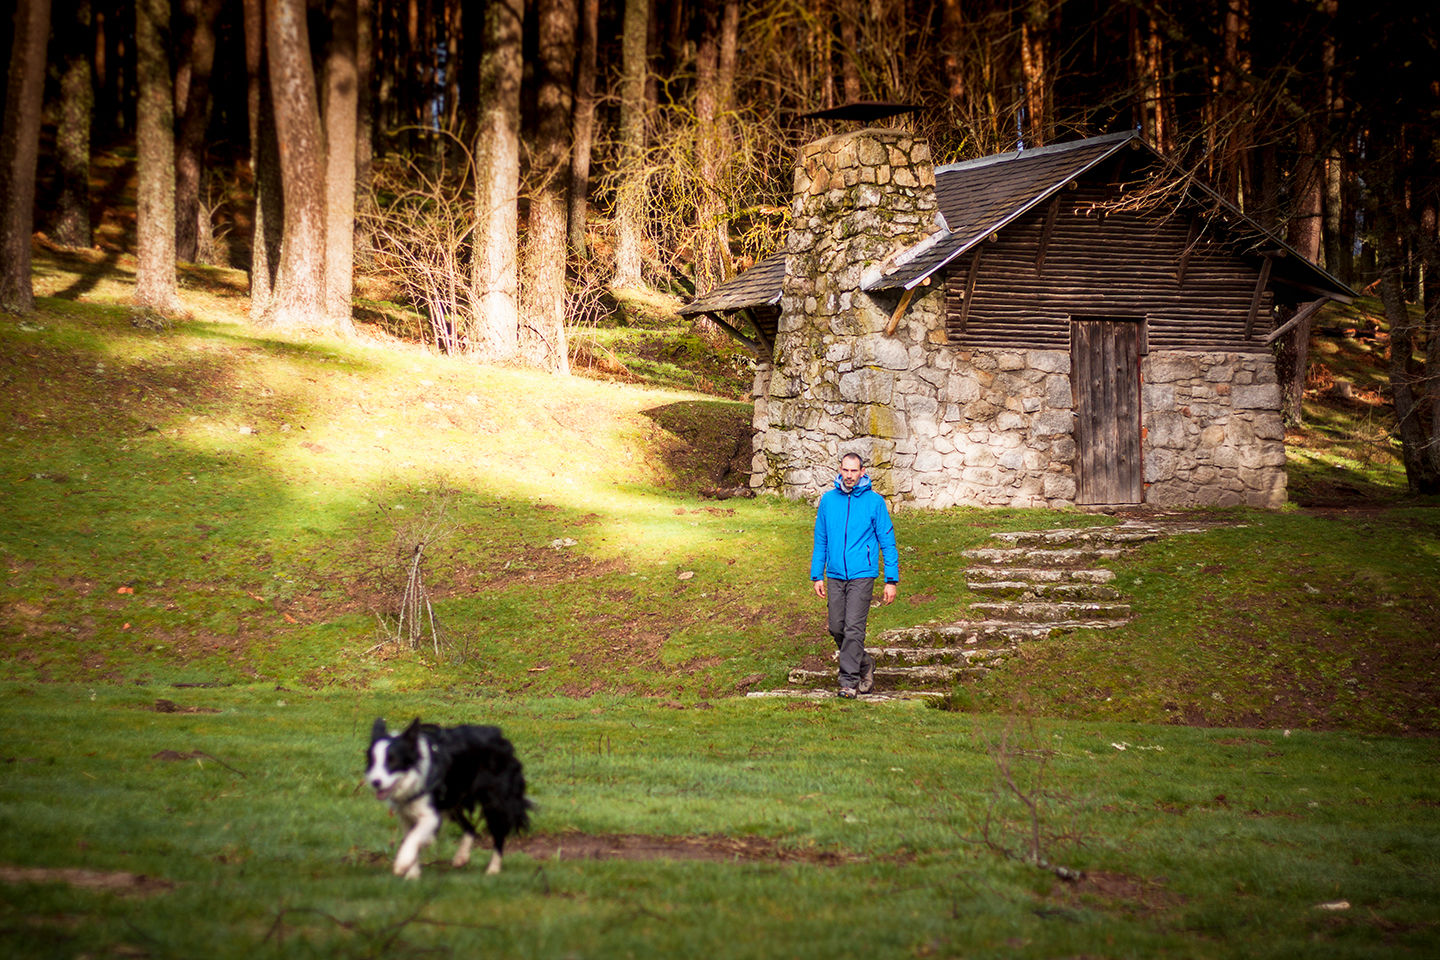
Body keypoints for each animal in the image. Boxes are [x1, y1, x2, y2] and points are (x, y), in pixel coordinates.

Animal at [365, 716, 535, 880]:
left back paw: (493, 869)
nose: (375, 782)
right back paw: (461, 857)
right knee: (470, 828)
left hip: (493, 802)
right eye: (372, 762)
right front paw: (412, 875)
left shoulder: (431, 815)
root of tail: (502, 739)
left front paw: (403, 863)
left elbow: (414, 837)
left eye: (393, 761)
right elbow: (410, 838)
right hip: (453, 801)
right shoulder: (405, 815)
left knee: (498, 835)